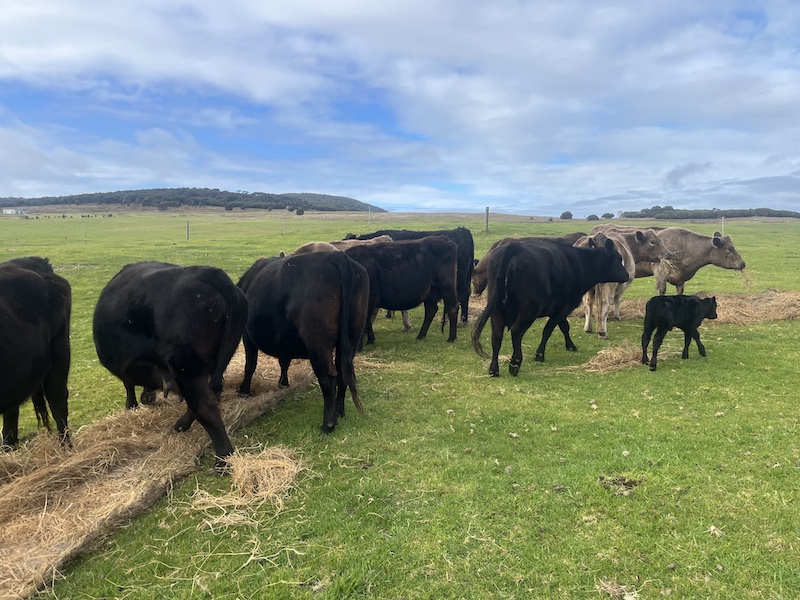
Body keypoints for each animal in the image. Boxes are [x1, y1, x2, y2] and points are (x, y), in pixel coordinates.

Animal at [93, 262, 248, 468]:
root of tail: (209, 272)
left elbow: (128, 384)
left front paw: (133, 403)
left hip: (186, 367)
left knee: (204, 405)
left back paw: (222, 458)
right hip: (213, 365)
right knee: (209, 396)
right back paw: (183, 424)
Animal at [236, 251, 369, 433]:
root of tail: (335, 255)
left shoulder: (247, 335)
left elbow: (250, 365)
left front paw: (243, 391)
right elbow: (284, 361)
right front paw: (283, 383)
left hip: (317, 342)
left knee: (328, 379)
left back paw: (328, 425)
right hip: (351, 338)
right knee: (343, 374)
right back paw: (339, 413)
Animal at [472, 238, 629, 377]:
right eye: (618, 258)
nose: (627, 275)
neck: (580, 264)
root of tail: (514, 247)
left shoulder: (558, 308)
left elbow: (563, 326)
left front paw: (570, 346)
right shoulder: (564, 307)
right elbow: (549, 330)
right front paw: (540, 354)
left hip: (496, 308)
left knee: (497, 336)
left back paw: (493, 369)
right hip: (529, 309)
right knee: (516, 331)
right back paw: (515, 364)